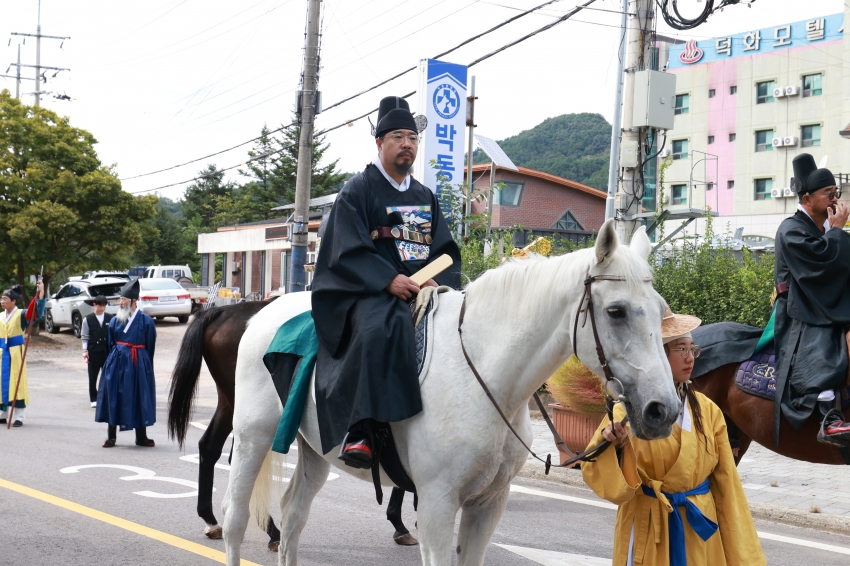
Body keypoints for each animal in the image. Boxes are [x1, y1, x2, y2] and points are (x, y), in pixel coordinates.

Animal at [166, 304, 418, 552]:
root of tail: (221, 311)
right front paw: (403, 520)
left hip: (230, 403)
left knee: (210, 447)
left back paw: (213, 520)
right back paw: (271, 531)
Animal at [222, 222, 680, 566]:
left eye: (661, 310)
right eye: (615, 311)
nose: (664, 410)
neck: (489, 378)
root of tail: (261, 312)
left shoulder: (488, 503)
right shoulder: (437, 505)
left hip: (316, 449)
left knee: (293, 515)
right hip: (253, 438)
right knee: (235, 520)